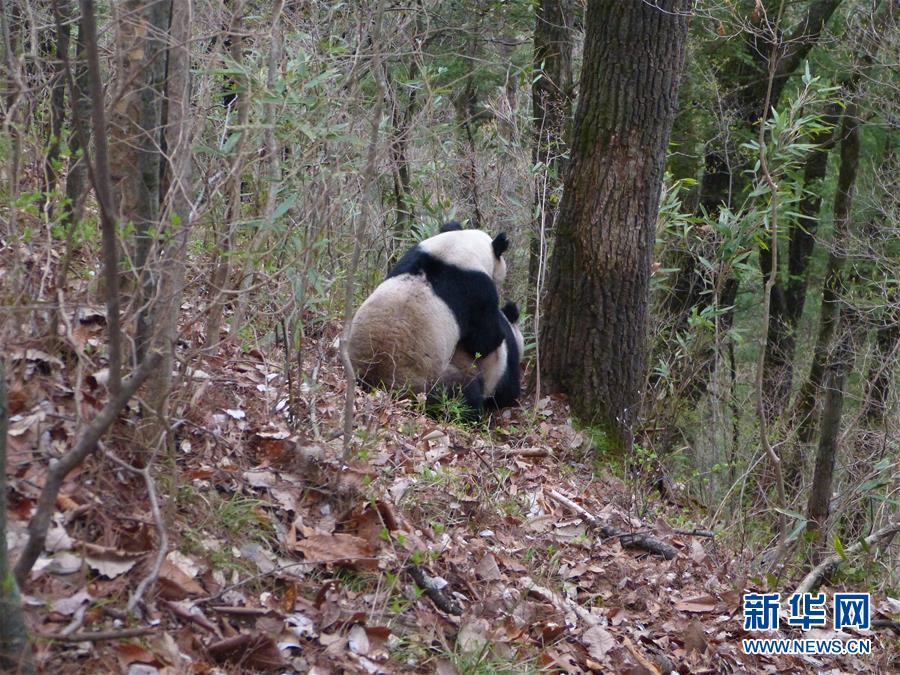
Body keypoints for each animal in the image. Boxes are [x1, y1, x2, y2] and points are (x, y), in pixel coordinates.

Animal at [348, 224, 510, 410]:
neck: (457, 248)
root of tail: (375, 381)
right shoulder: (478, 290)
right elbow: (483, 341)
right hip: (427, 381)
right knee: (460, 392)